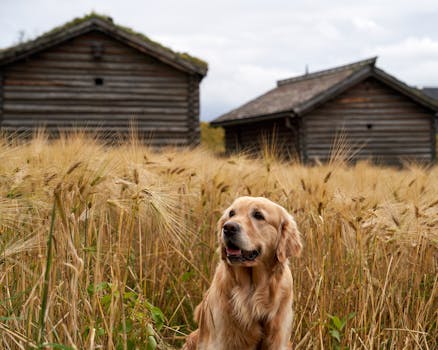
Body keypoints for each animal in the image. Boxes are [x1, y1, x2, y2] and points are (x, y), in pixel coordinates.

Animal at [183, 197, 302, 350]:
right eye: (231, 213)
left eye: (258, 215)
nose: (228, 228)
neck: (252, 289)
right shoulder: (218, 338)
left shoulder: (278, 339)